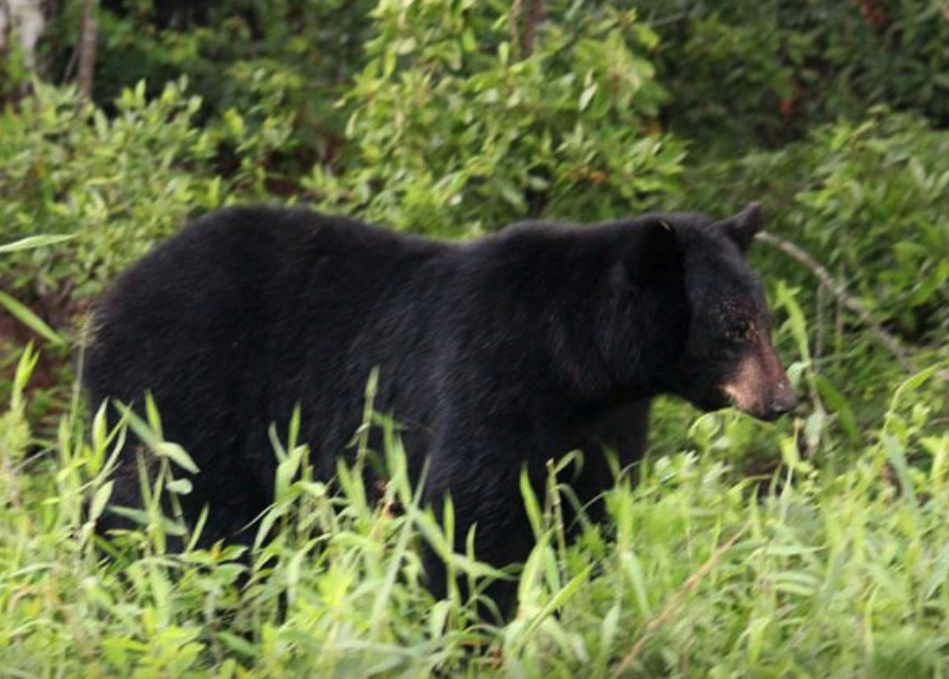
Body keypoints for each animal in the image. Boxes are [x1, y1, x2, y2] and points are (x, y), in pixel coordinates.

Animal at [83, 203, 792, 604]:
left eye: (764, 318)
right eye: (734, 328)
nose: (783, 399)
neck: (576, 361)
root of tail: (111, 299)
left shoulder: (602, 425)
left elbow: (587, 509)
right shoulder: (487, 381)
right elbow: (473, 522)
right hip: (181, 390)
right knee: (174, 506)